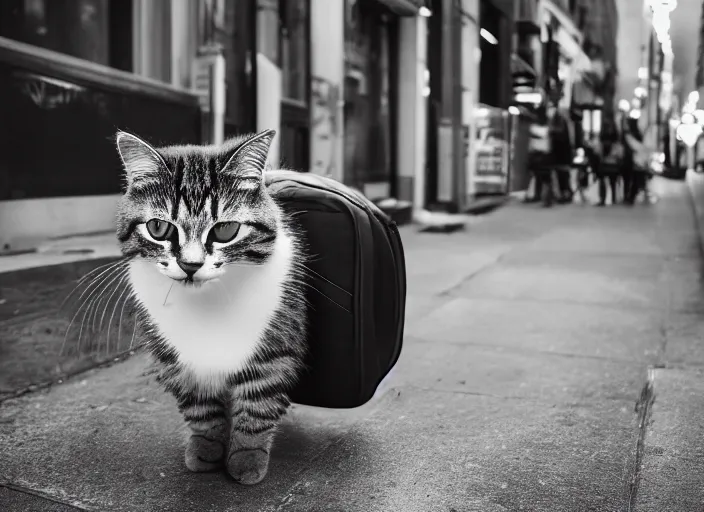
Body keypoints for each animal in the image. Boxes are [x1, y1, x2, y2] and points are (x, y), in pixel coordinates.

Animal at [114, 129, 306, 484]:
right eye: (158, 228)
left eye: (226, 230)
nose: (190, 265)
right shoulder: (176, 359)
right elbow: (200, 406)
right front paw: (206, 445)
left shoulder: (274, 347)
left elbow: (257, 402)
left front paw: (246, 456)